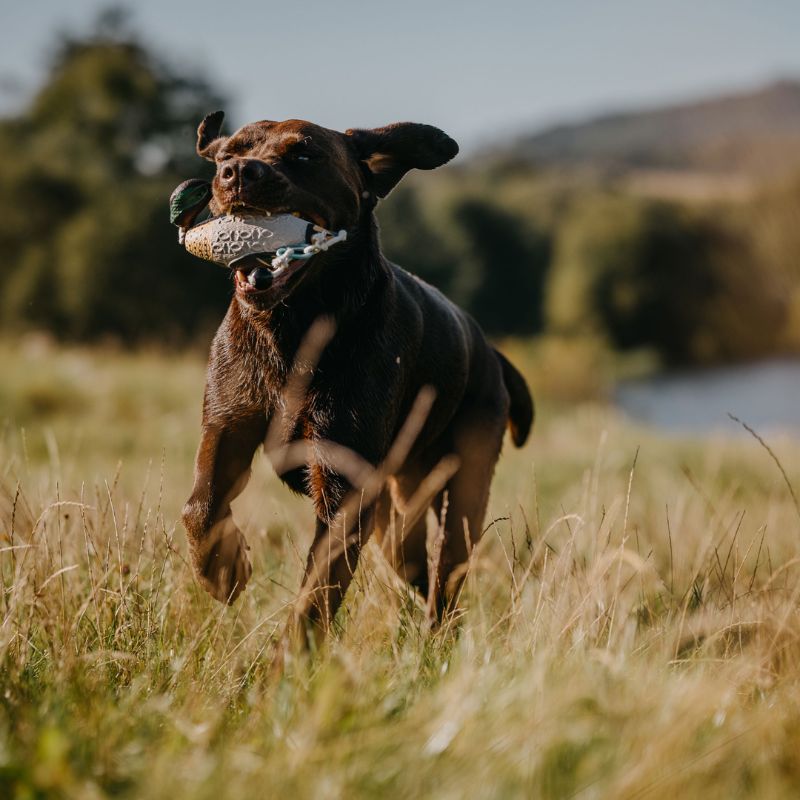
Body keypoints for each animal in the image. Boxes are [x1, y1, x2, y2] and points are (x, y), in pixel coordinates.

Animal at [180, 111, 532, 636]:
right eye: (228, 154)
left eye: (305, 154)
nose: (237, 173)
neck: (294, 330)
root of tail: (489, 349)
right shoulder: (227, 427)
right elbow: (200, 509)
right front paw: (224, 572)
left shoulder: (342, 485)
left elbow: (315, 595)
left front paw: (294, 654)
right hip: (396, 510)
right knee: (415, 564)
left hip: (463, 489)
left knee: (446, 576)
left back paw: (437, 637)